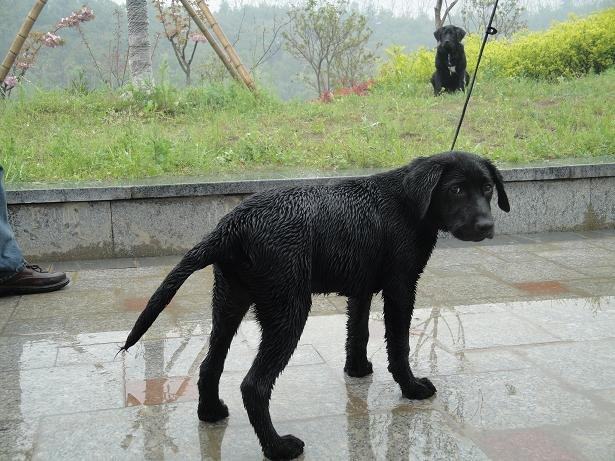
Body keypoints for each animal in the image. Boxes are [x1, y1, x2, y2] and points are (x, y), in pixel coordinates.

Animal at [120, 152, 510, 460]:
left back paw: (211, 413)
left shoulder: (361, 289)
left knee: (209, 365)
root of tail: (231, 226)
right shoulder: (401, 287)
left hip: (229, 302)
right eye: (456, 189)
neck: (408, 203)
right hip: (288, 309)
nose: (486, 225)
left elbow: (358, 332)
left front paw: (357, 370)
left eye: (488, 188)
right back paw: (278, 448)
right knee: (253, 385)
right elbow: (398, 345)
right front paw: (412, 388)